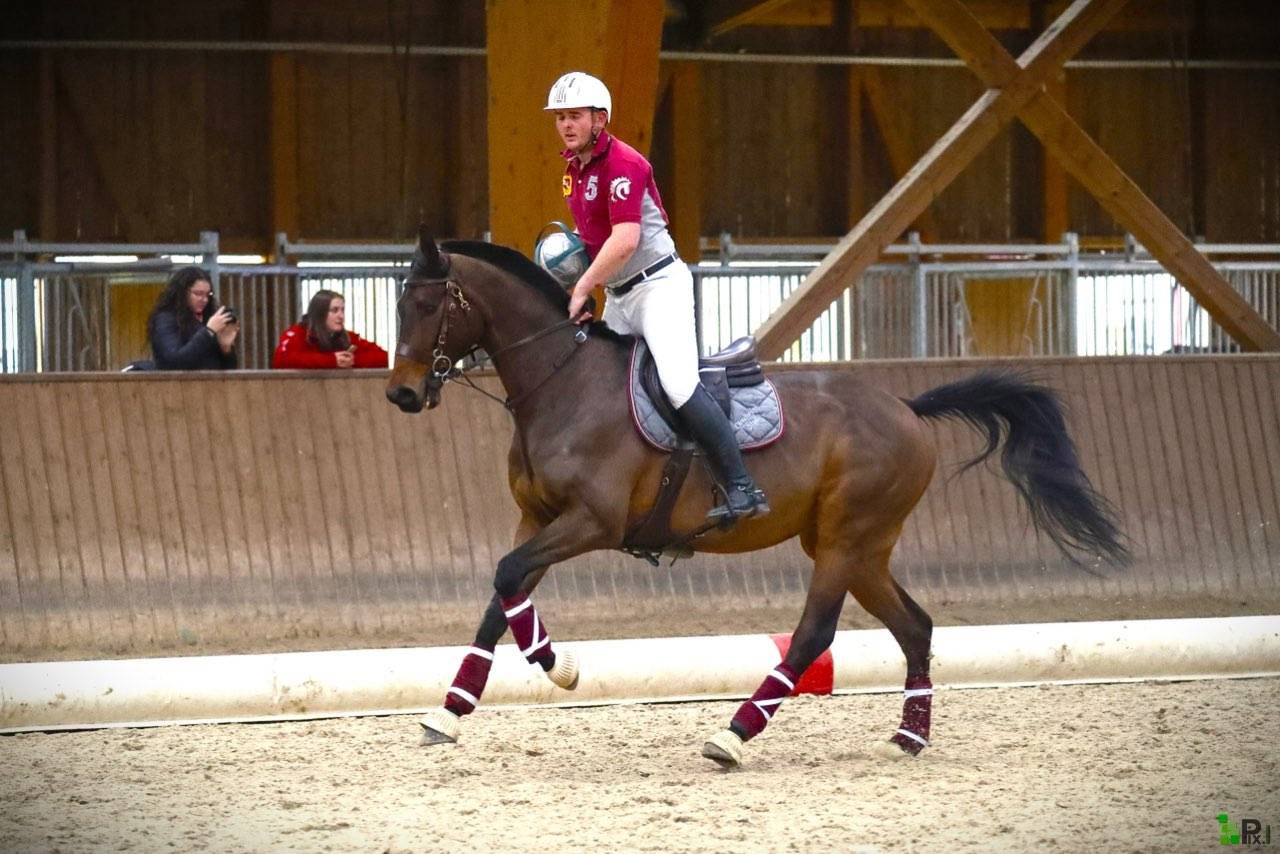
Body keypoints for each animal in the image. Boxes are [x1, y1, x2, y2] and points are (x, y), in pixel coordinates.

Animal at [386, 228, 1129, 768]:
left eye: (428, 305)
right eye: (398, 305)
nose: (401, 394)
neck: (562, 382)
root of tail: (906, 407)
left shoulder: (590, 522)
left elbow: (509, 578)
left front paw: (560, 666)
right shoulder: (536, 517)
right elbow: (501, 597)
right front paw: (448, 711)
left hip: (845, 541)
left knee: (813, 636)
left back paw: (734, 734)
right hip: (860, 547)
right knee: (915, 626)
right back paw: (909, 735)